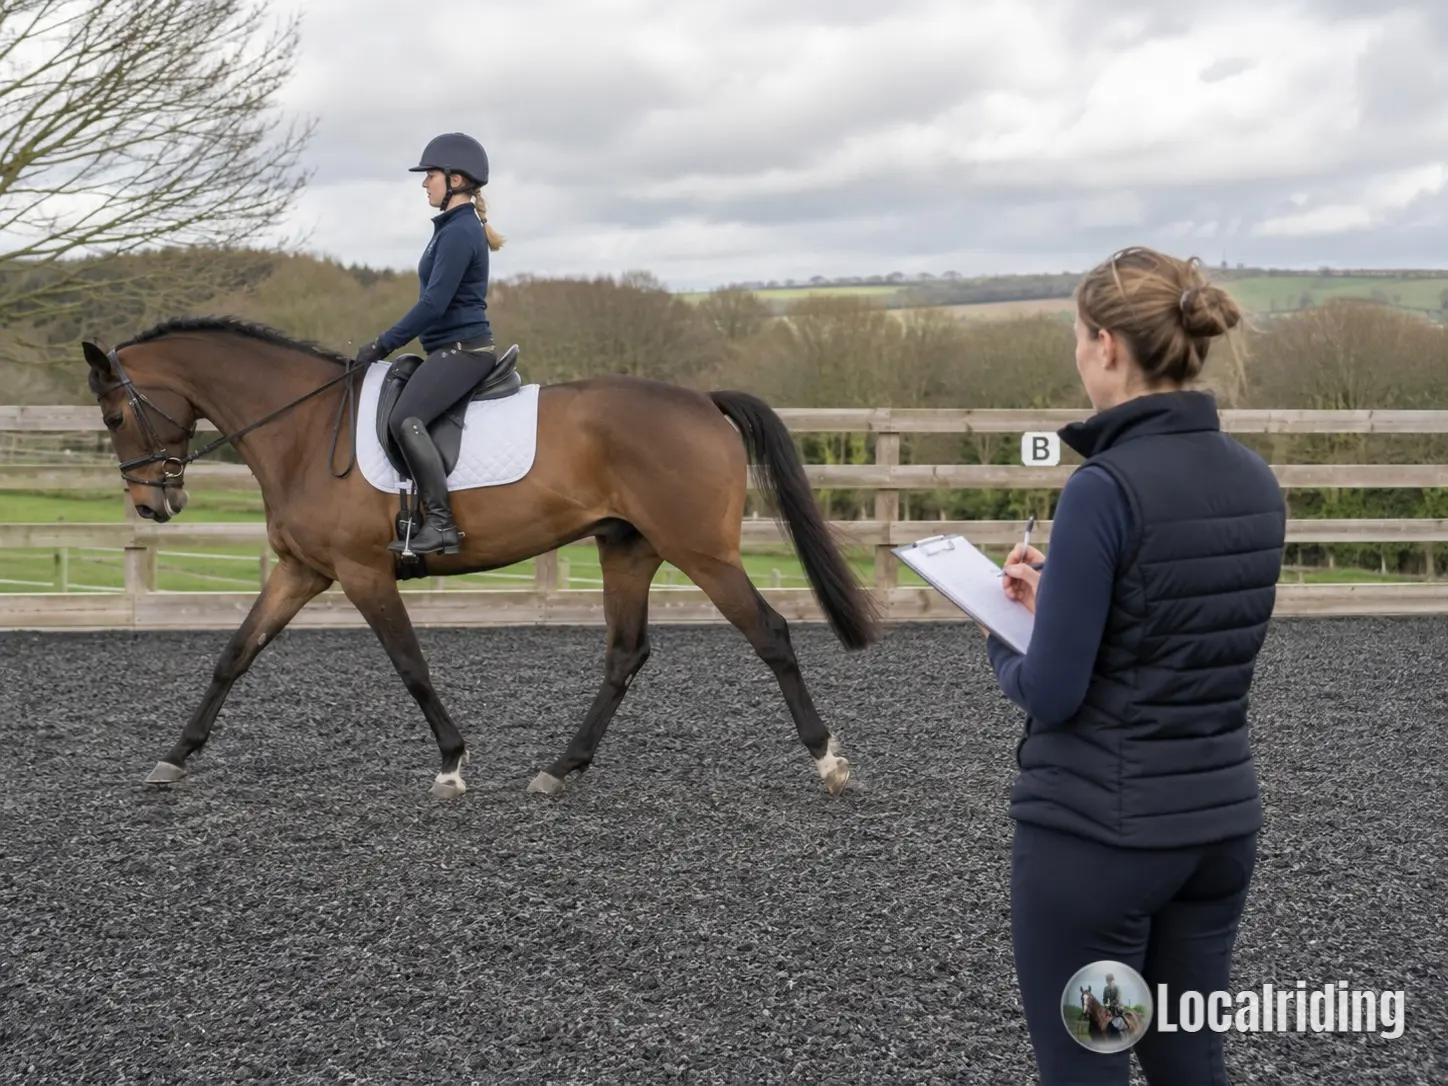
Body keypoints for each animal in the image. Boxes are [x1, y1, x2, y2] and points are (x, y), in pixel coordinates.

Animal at [80, 316, 881, 800]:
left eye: (115, 415)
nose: (154, 506)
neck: (304, 430)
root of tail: (703, 402)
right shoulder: (303, 570)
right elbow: (234, 655)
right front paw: (174, 757)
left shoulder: (364, 572)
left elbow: (411, 666)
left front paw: (452, 764)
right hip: (628, 550)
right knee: (625, 655)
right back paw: (560, 769)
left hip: (702, 552)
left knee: (769, 634)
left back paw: (829, 761)